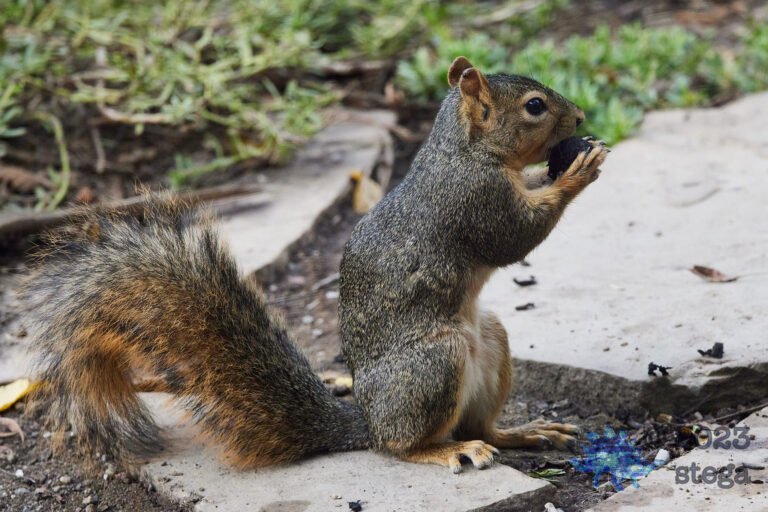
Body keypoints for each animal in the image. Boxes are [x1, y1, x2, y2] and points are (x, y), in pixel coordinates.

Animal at [24, 56, 607, 474]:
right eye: (535, 106)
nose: (580, 118)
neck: (463, 151)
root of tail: (367, 421)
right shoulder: (473, 200)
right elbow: (515, 237)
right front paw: (578, 170)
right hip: (434, 362)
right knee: (403, 444)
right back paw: (443, 450)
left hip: (490, 339)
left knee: (480, 425)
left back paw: (524, 432)